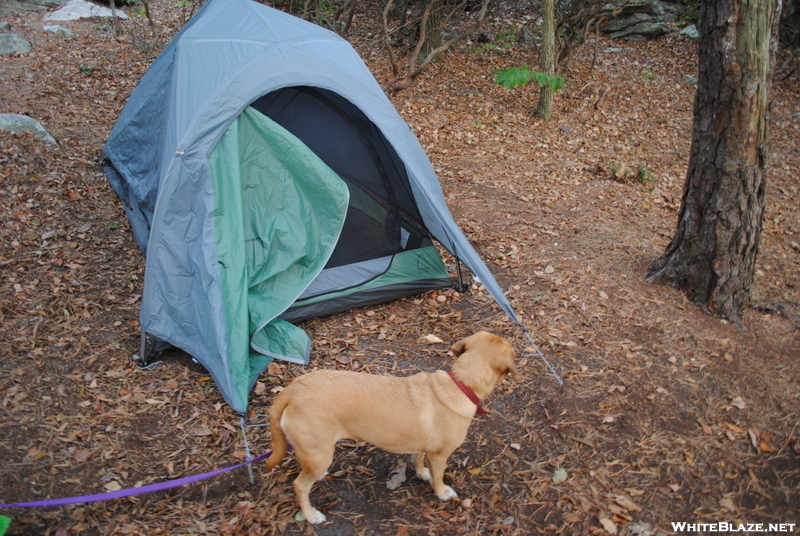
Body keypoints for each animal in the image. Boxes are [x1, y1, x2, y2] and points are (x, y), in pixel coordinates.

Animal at [264, 330, 520, 524]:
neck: (460, 383)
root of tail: (293, 389)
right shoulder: (439, 456)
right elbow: (438, 477)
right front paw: (441, 492)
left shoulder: (422, 447)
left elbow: (417, 461)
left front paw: (422, 473)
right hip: (318, 456)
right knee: (300, 486)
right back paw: (310, 515)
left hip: (316, 453)